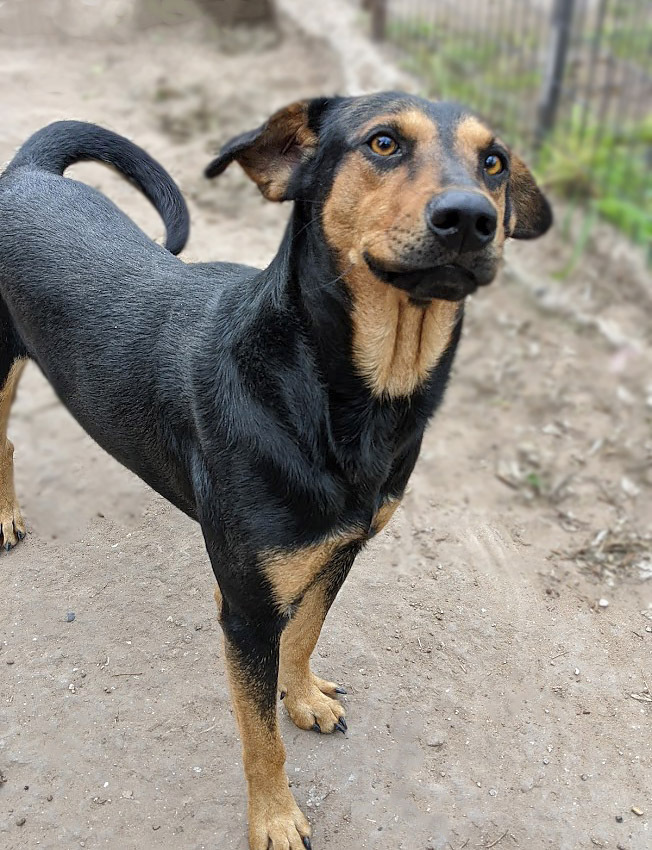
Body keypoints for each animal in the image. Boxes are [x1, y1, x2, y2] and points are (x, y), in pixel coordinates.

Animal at [0, 93, 552, 840]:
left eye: (493, 161)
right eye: (383, 143)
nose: (470, 217)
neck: (339, 398)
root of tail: (29, 171)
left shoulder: (340, 550)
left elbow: (306, 633)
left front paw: (303, 696)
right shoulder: (247, 613)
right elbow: (260, 738)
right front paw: (276, 818)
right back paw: (4, 516)